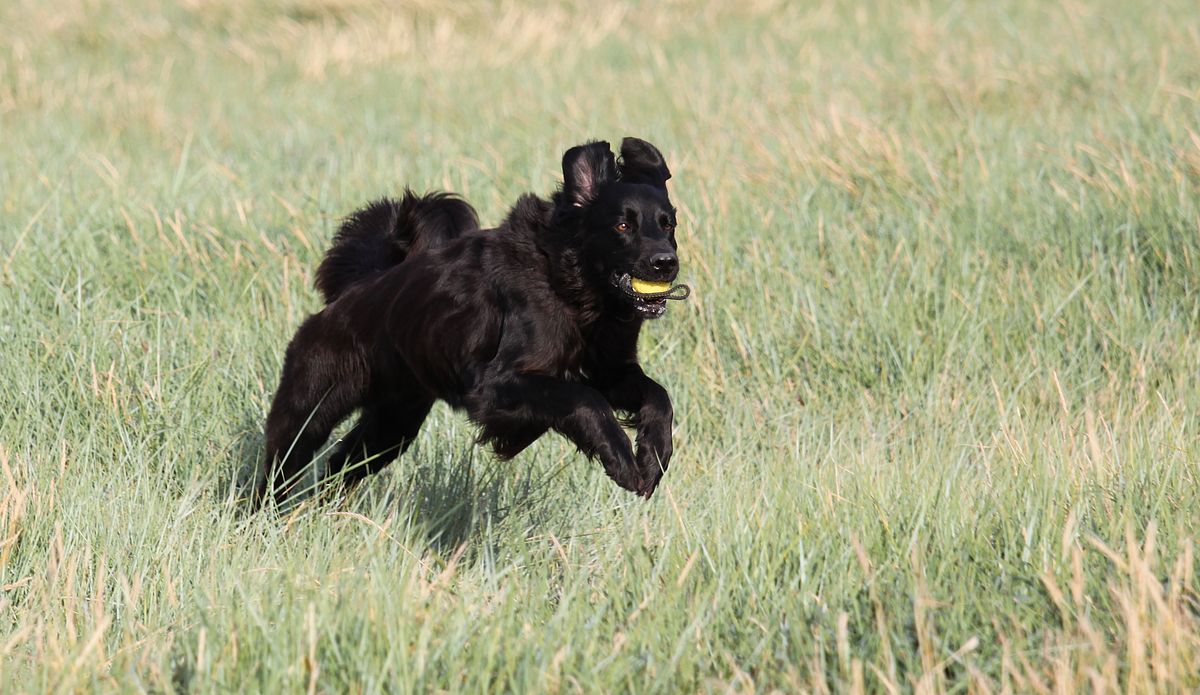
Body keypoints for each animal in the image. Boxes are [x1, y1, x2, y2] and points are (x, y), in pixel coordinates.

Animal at [255, 137, 687, 508]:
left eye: (668, 224)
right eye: (622, 225)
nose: (665, 263)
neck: (568, 281)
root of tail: (352, 291)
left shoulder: (608, 369)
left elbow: (657, 396)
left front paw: (654, 456)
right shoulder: (493, 387)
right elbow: (584, 400)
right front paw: (623, 462)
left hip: (392, 425)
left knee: (336, 468)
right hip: (309, 409)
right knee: (276, 472)